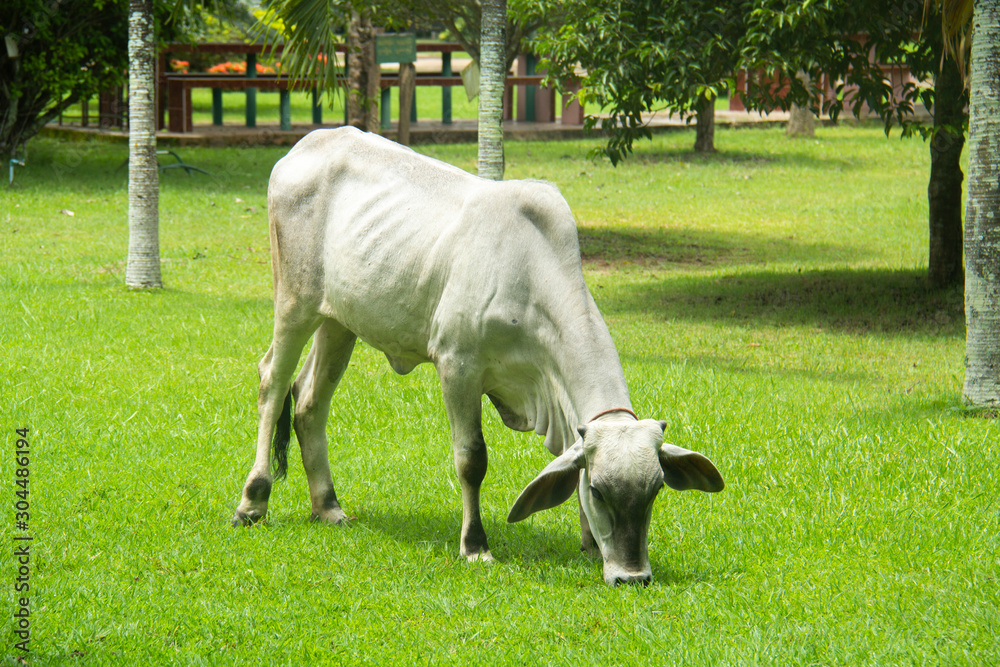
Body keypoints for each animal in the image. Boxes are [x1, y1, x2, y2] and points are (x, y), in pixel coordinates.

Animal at [232, 126, 724, 586]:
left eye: (656, 490)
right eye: (600, 491)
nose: (632, 576)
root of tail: (308, 143)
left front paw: (588, 543)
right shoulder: (458, 366)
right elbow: (471, 459)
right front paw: (475, 545)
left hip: (339, 320)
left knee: (309, 400)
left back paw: (328, 506)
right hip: (294, 301)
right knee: (272, 383)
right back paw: (253, 501)